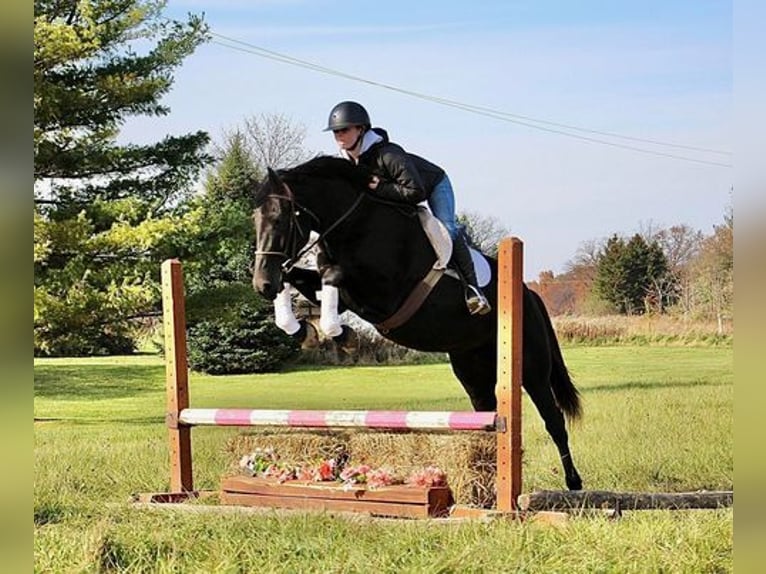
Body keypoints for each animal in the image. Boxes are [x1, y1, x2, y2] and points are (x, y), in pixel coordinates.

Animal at [255, 156, 584, 490]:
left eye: (280, 218)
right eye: (255, 219)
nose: (262, 283)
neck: (354, 224)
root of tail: (528, 293)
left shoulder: (383, 294)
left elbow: (332, 275)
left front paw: (342, 335)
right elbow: (297, 278)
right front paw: (303, 330)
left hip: (531, 368)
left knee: (554, 420)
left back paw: (573, 483)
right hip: (471, 368)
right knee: (488, 413)